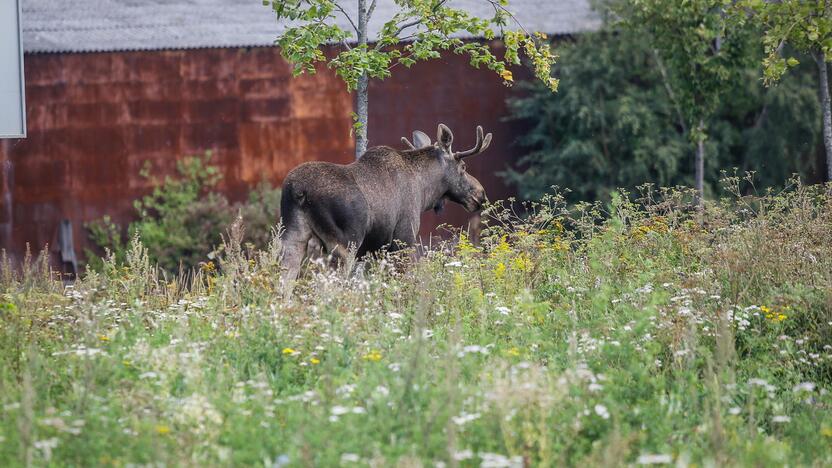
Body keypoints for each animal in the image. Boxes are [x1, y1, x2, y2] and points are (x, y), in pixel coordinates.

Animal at [280, 122, 490, 282]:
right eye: (463, 167)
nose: (481, 194)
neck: (425, 192)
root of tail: (299, 191)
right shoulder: (404, 239)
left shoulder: (376, 250)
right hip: (343, 244)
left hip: (292, 237)